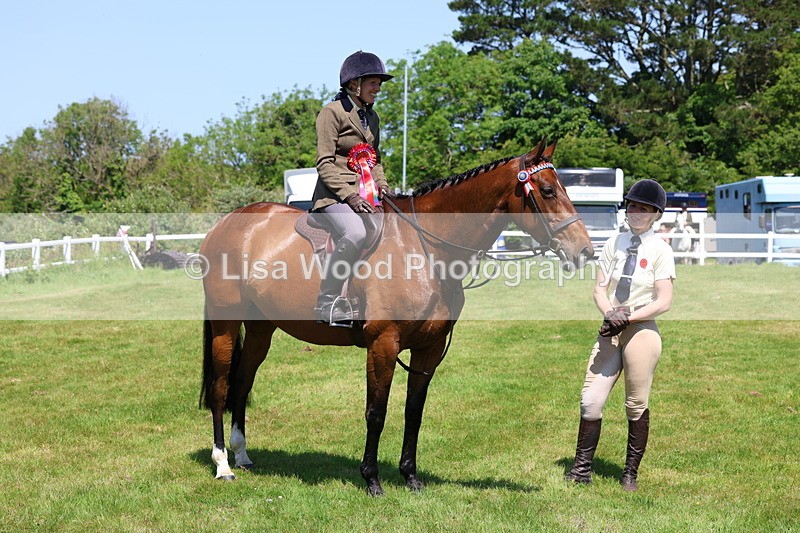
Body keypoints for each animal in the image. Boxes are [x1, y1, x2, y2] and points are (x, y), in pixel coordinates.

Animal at [198, 139, 594, 496]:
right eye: (547, 191)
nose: (585, 252)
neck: (424, 249)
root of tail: (225, 225)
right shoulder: (383, 345)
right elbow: (376, 412)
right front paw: (372, 479)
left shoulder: (428, 350)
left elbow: (413, 412)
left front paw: (410, 476)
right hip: (225, 324)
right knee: (221, 387)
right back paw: (223, 464)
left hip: (261, 328)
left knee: (243, 382)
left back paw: (242, 455)